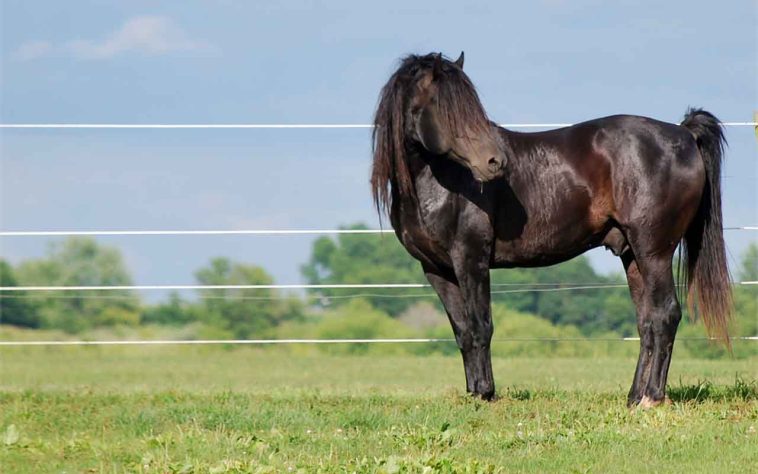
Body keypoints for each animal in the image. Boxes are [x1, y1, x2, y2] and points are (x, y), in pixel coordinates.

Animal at [370, 52, 731, 407]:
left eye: (471, 106)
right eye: (443, 107)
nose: (494, 162)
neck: (438, 183)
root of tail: (683, 134)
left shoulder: (470, 259)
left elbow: (480, 326)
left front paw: (486, 393)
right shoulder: (437, 269)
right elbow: (462, 331)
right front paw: (473, 393)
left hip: (654, 251)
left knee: (666, 314)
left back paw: (652, 397)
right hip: (632, 255)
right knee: (648, 322)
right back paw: (633, 397)